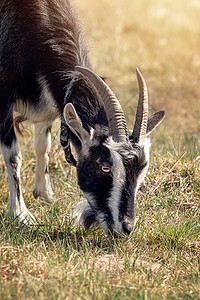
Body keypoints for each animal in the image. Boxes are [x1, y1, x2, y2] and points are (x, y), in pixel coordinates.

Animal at [0, 0, 165, 234]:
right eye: (104, 165)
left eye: (142, 169)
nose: (126, 227)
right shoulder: (2, 98)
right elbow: (13, 155)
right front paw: (20, 214)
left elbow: (43, 146)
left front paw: (44, 194)